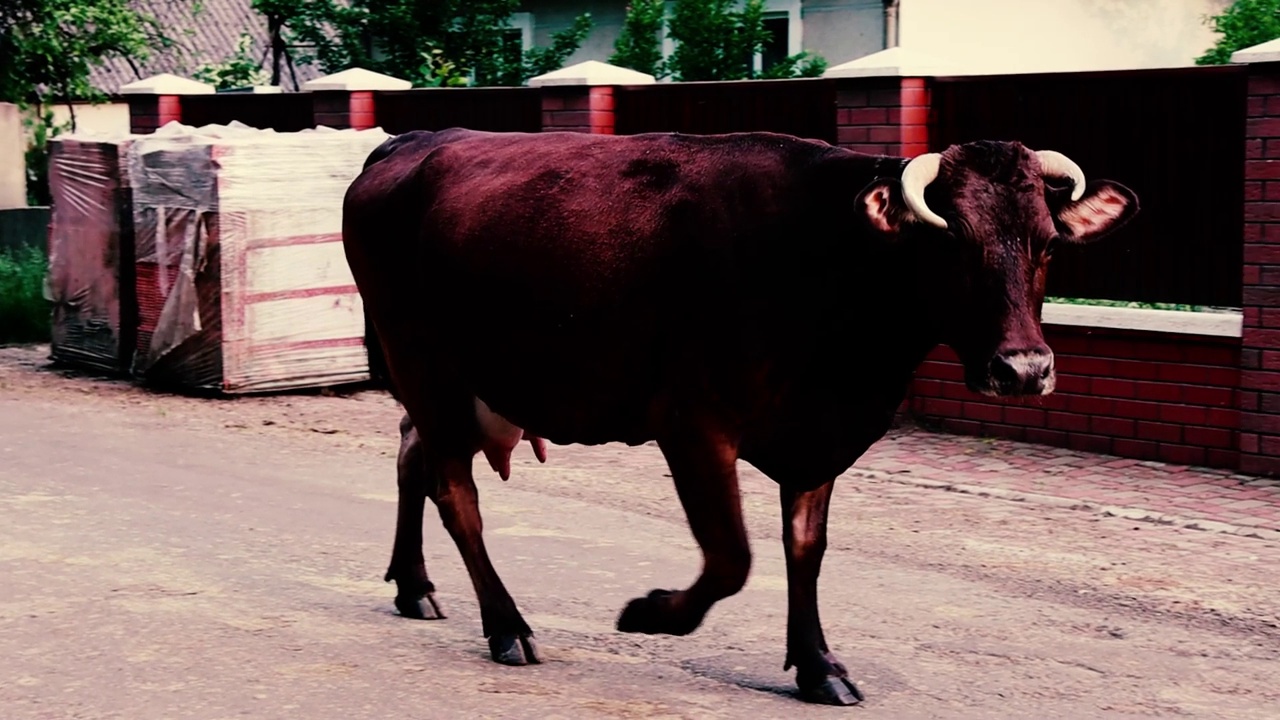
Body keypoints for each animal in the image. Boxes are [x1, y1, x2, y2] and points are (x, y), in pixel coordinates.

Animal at [343, 126, 1141, 702]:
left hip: (455, 387)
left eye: (1047, 244)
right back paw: (507, 627)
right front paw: (652, 613)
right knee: (457, 495)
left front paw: (818, 665)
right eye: (951, 242)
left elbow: (804, 549)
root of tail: (411, 141)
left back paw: (415, 586)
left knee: (413, 456)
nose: (1024, 368)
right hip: (426, 366)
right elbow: (732, 557)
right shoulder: (694, 424)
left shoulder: (820, 437)